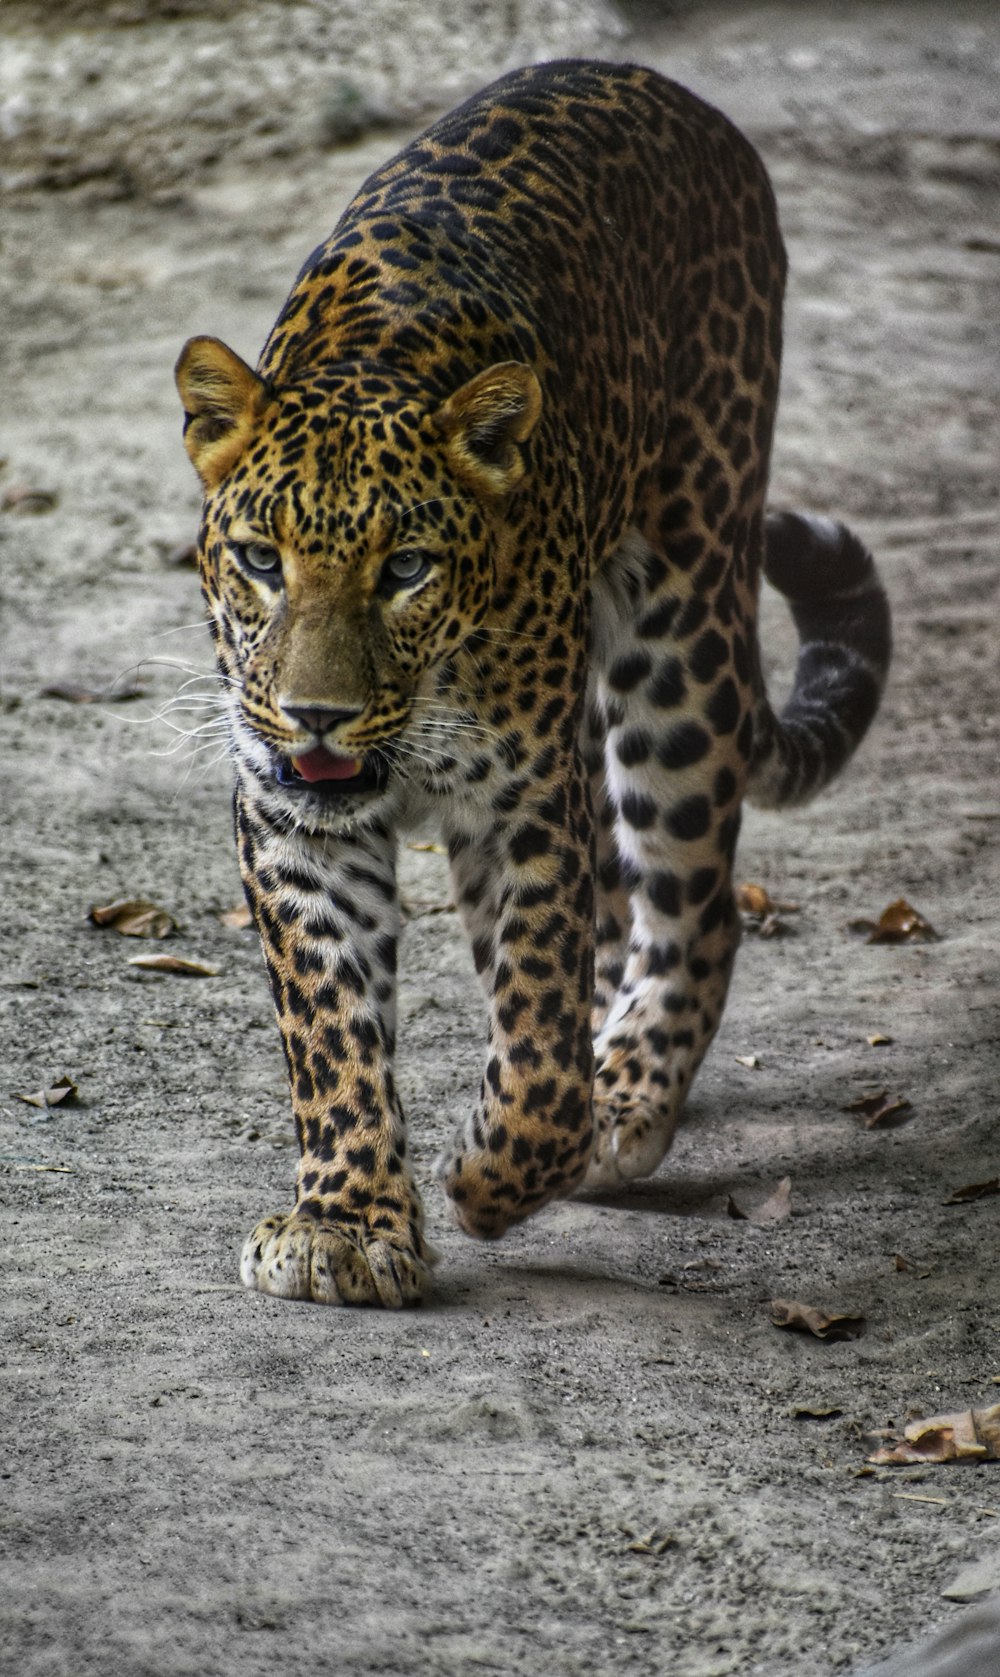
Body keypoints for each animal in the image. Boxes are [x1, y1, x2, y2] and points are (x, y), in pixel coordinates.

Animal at [173, 62, 892, 1308]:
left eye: (406, 569)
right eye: (261, 561)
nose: (316, 716)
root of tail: (656, 87)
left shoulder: (520, 801)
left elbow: (539, 1029)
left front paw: (503, 1168)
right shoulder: (288, 811)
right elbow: (333, 1025)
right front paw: (345, 1222)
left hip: (683, 625)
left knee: (692, 903)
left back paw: (628, 1096)